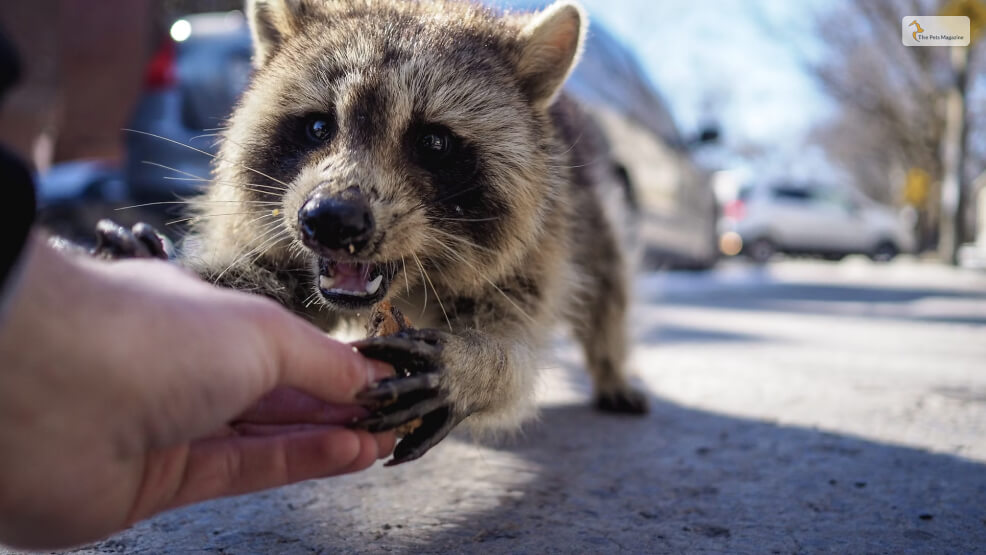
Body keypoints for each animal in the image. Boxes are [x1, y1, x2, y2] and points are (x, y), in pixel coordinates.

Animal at [133, 0, 644, 464]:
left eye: (434, 142)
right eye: (317, 126)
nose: (332, 219)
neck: (413, 281)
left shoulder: (542, 245)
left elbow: (518, 349)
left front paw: (479, 366)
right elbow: (261, 279)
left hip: (589, 209)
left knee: (609, 282)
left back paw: (611, 367)